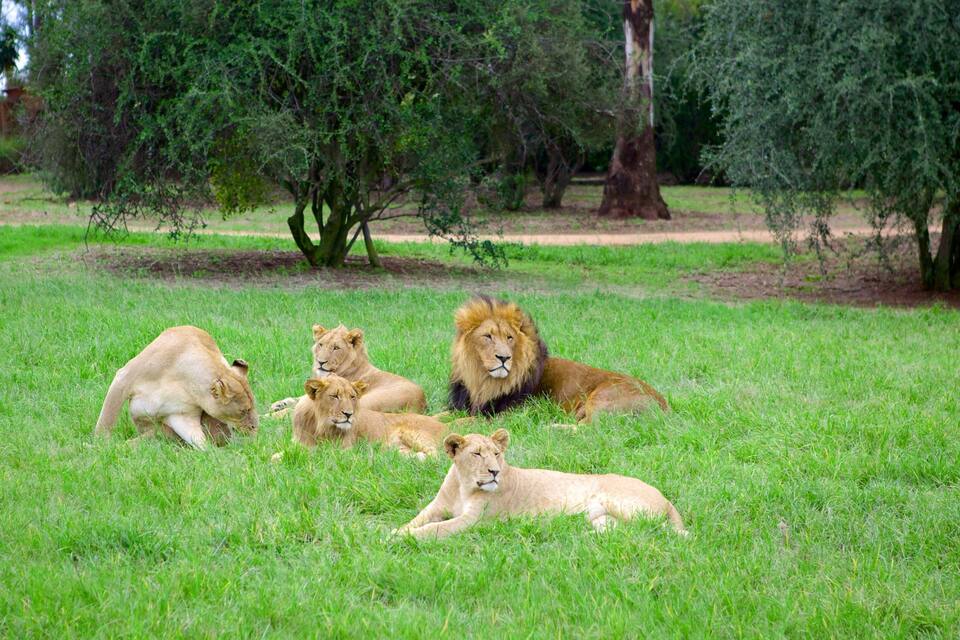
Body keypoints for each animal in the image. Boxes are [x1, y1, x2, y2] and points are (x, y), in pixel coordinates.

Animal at [94, 326, 258, 449]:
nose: (255, 428)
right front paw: (101, 446)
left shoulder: (183, 415)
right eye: (243, 411)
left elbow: (199, 441)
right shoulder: (123, 379)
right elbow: (106, 420)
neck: (184, 380)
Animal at [270, 324, 427, 416]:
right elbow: (298, 398)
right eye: (321, 344)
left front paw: (272, 413)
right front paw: (278, 404)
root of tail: (421, 403)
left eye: (336, 348)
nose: (320, 362)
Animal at [292, 375, 445, 458]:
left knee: (435, 456)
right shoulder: (297, 443)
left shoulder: (344, 449)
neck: (319, 426)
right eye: (334, 396)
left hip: (416, 435)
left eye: (352, 397)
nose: (349, 414)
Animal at [394, 429, 686, 539]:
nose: (494, 472)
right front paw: (395, 531)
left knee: (653, 530)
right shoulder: (435, 507)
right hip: (602, 519)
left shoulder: (473, 521)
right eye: (477, 454)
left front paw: (402, 538)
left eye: (496, 454)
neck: (463, 486)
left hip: (623, 504)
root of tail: (665, 497)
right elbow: (418, 519)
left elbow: (436, 528)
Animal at [448, 296, 668, 423]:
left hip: (602, 397)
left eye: (509, 338)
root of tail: (665, 406)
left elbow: (460, 423)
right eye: (488, 336)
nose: (504, 357)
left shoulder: (505, 415)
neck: (481, 382)